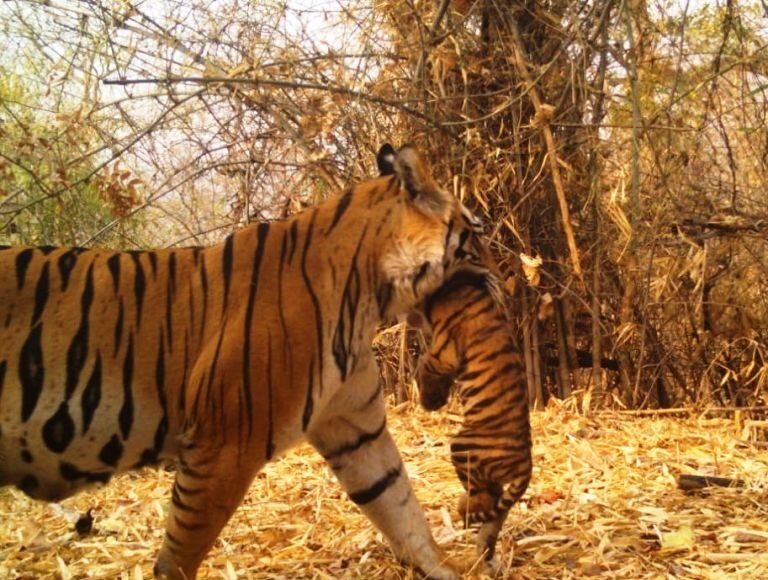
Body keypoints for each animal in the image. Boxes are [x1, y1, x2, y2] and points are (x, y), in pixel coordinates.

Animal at [0, 144, 491, 580]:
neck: (369, 296)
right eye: (477, 234)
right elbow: (181, 553)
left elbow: (400, 504)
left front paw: (447, 569)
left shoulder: (354, 425)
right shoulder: (224, 443)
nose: (498, 276)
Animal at [409, 269, 532, 565]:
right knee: (494, 501)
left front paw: (429, 400)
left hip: (463, 446)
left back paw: (462, 509)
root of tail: (527, 465)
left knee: (481, 499)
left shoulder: (443, 353)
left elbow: (425, 367)